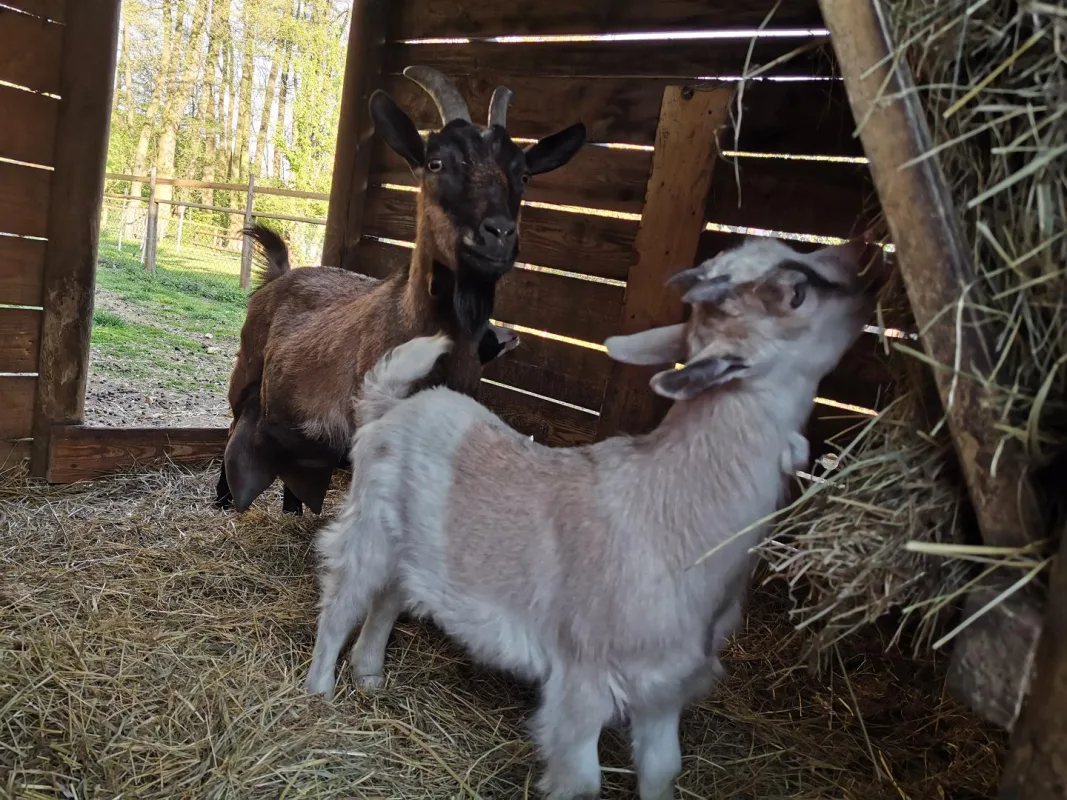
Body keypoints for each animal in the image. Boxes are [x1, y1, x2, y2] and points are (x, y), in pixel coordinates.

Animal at [215, 66, 586, 516]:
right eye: (435, 162)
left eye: (525, 175)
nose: (497, 235)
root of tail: (279, 275)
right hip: (246, 365)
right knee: (233, 423)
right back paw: (223, 500)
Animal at [303, 236, 876, 799]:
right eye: (795, 292)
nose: (863, 253)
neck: (673, 509)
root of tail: (386, 408)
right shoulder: (582, 681)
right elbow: (582, 782)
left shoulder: (662, 689)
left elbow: (664, 769)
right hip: (368, 529)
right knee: (342, 603)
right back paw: (320, 693)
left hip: (414, 550)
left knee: (386, 601)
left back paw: (370, 676)